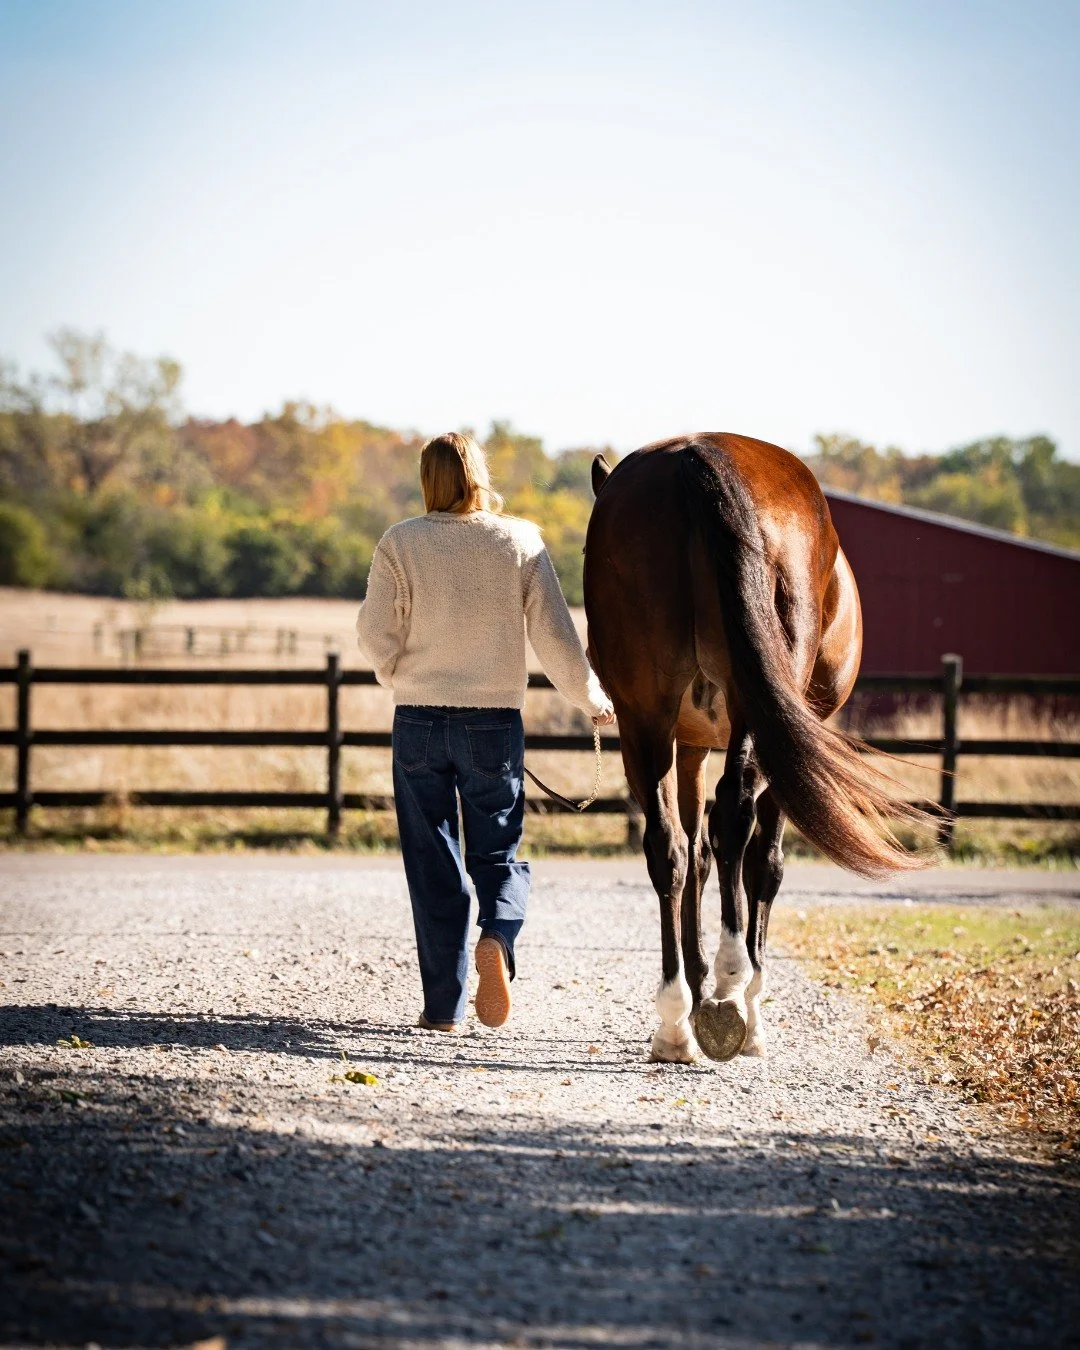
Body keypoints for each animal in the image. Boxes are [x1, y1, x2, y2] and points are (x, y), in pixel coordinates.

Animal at [584, 434, 929, 1064]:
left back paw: (676, 1021)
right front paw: (743, 1003)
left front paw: (697, 993)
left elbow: (694, 853)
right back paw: (730, 984)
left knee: (669, 846)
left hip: (644, 717)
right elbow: (763, 863)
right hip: (754, 716)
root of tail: (696, 457)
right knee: (735, 818)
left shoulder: (689, 742)